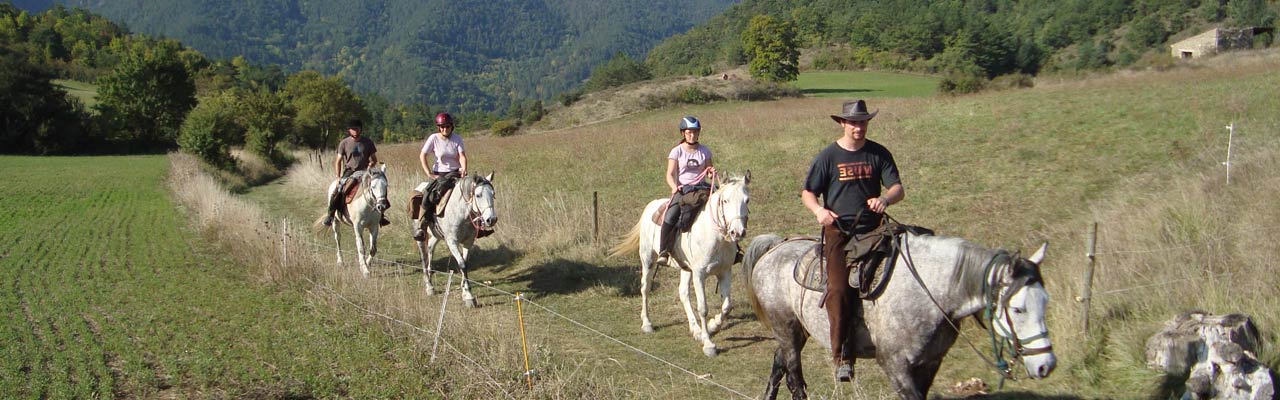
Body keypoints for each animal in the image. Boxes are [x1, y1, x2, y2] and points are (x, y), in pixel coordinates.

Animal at [414, 173, 494, 307]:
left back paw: (430, 275)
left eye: (493, 194)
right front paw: (469, 296)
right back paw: (429, 286)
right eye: (478, 195)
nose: (491, 219)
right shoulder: (452, 242)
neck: (460, 212)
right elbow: (462, 264)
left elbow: (465, 263)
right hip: (420, 236)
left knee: (430, 248)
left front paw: (464, 290)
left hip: (437, 234)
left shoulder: (468, 241)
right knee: (423, 256)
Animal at [609, 171, 747, 356]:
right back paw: (647, 323)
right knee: (645, 288)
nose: (737, 232)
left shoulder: (724, 271)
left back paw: (696, 330)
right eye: (725, 200)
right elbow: (703, 308)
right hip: (647, 259)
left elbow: (727, 306)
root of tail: (651, 206)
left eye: (747, 200)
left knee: (683, 293)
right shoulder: (699, 274)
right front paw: (709, 344)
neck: (715, 237)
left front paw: (712, 326)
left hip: (686, 268)